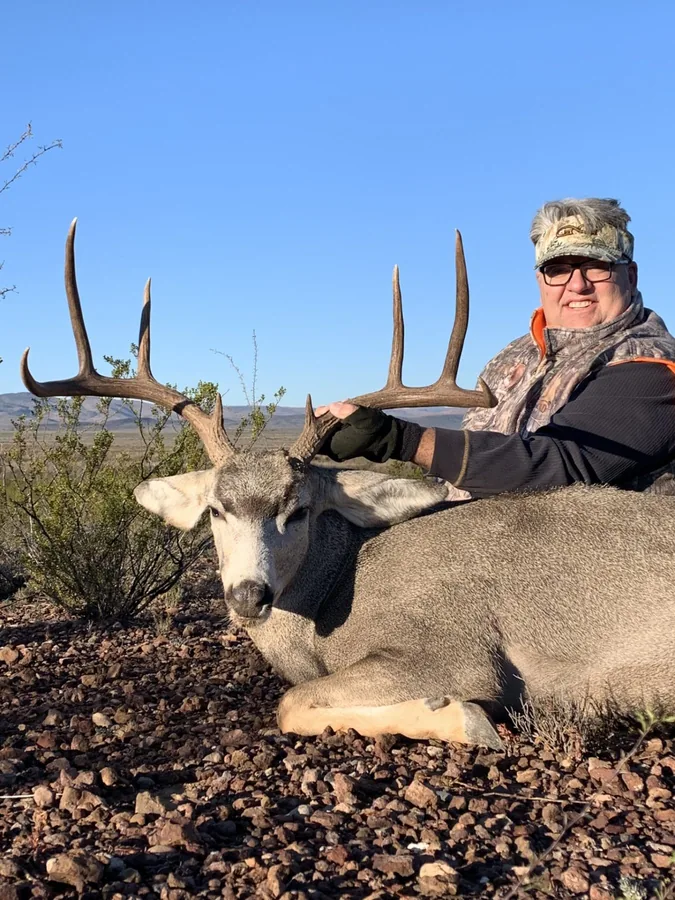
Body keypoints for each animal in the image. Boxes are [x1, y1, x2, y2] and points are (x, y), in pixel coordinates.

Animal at [21, 220, 675, 750]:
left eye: (299, 510)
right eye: (215, 511)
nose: (248, 595)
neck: (336, 597)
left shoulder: (454, 650)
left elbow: (291, 704)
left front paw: (466, 720)